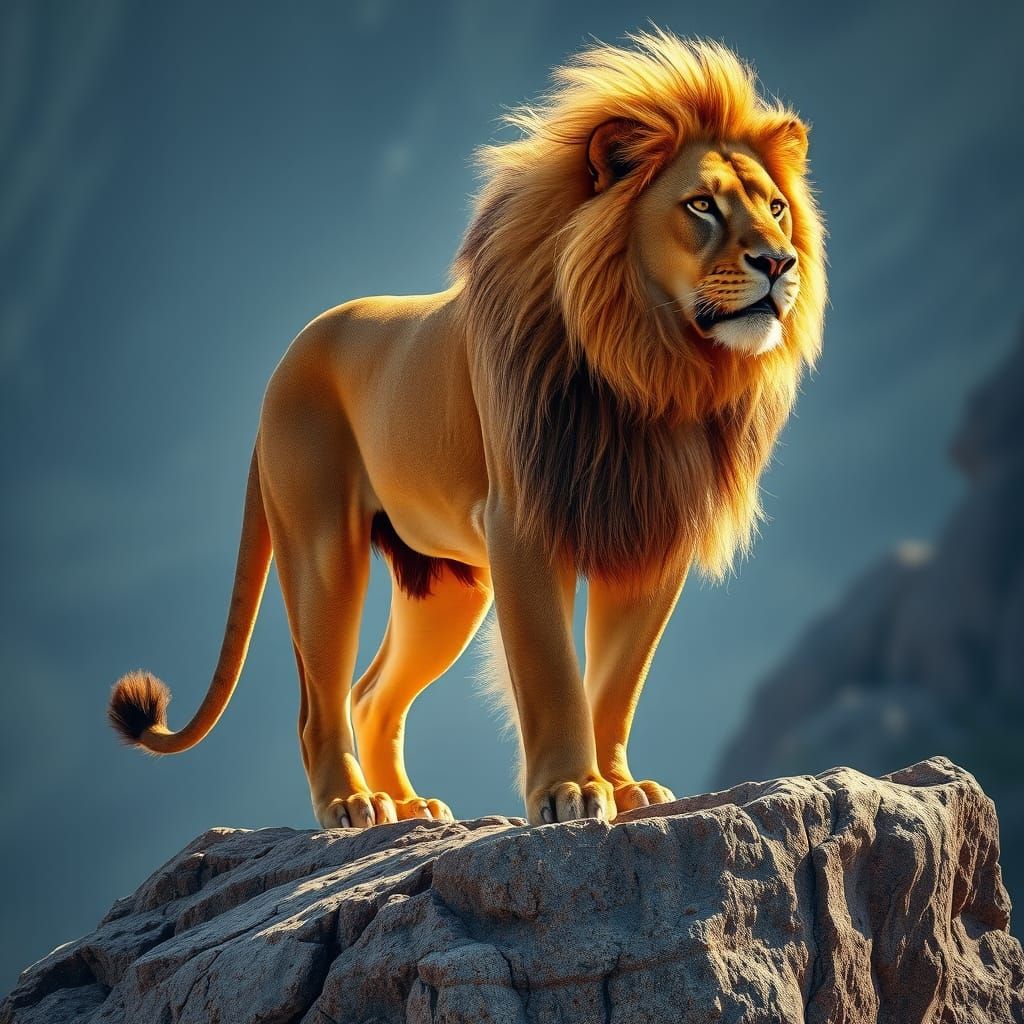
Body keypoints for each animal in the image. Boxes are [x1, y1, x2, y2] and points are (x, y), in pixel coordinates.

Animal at [108, 29, 826, 829]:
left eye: (776, 208)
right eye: (701, 204)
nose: (779, 262)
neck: (656, 368)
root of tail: (287, 359)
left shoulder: (648, 535)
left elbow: (616, 683)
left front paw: (623, 785)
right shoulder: (523, 521)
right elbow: (552, 669)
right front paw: (571, 792)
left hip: (446, 584)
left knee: (370, 694)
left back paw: (409, 804)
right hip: (323, 549)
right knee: (318, 703)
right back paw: (352, 804)